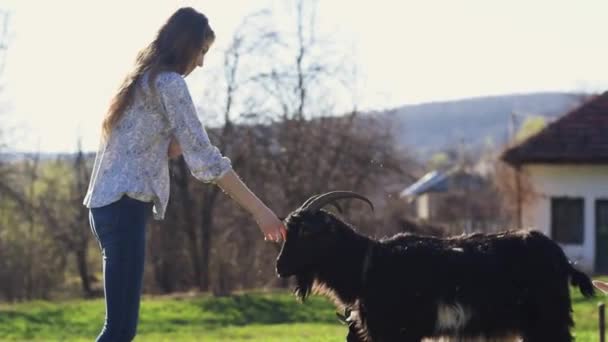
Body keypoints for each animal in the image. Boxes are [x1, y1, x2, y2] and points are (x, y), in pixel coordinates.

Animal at [278, 191, 596, 342]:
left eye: (305, 232)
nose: (280, 267)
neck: (368, 264)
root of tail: (561, 258)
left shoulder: (399, 332)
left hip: (549, 320)